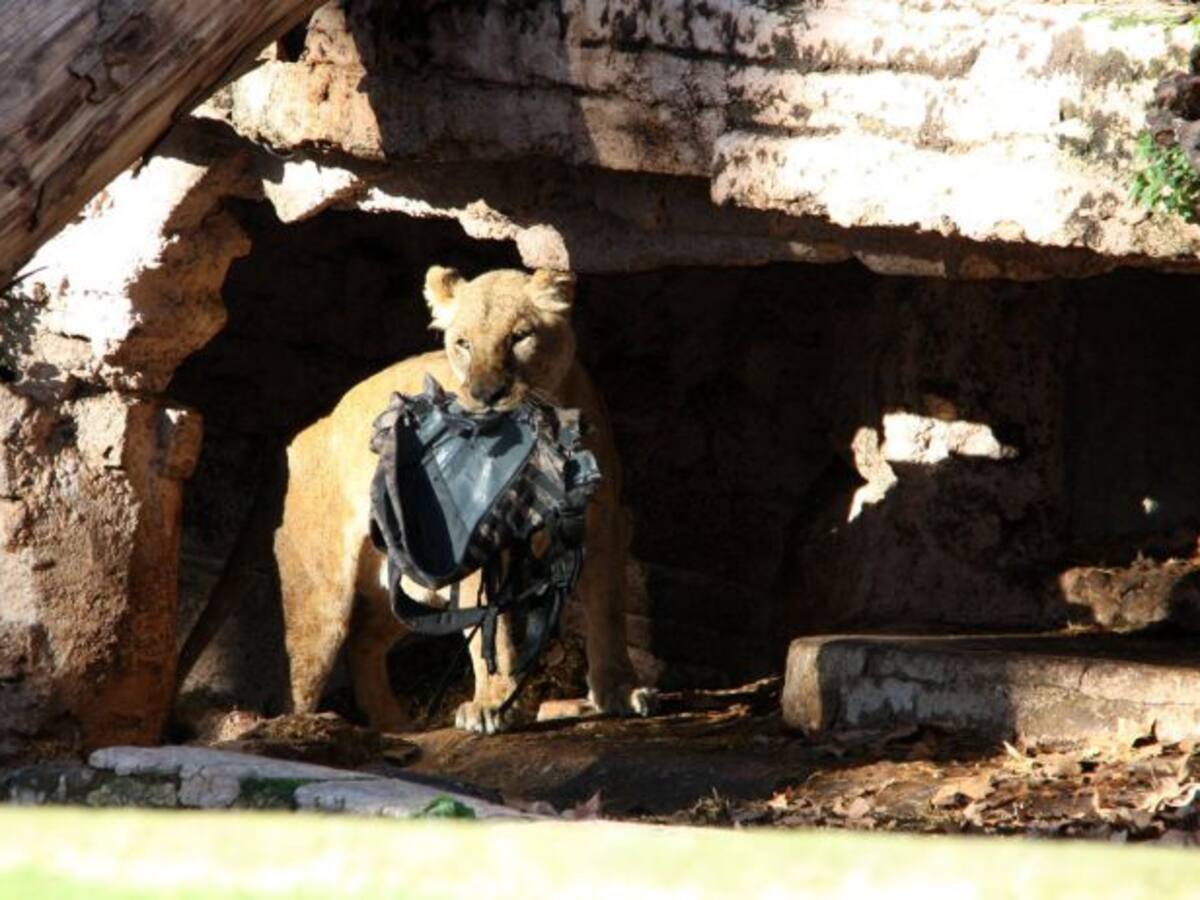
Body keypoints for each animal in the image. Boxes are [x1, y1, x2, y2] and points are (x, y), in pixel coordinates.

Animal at [178, 266, 654, 734]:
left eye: (520, 336)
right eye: (463, 343)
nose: (485, 394)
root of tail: (298, 436)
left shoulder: (602, 520)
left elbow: (607, 610)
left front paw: (619, 691)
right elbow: (488, 626)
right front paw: (491, 703)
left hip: (411, 582)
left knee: (363, 640)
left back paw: (394, 726)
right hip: (321, 595)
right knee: (304, 670)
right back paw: (304, 725)